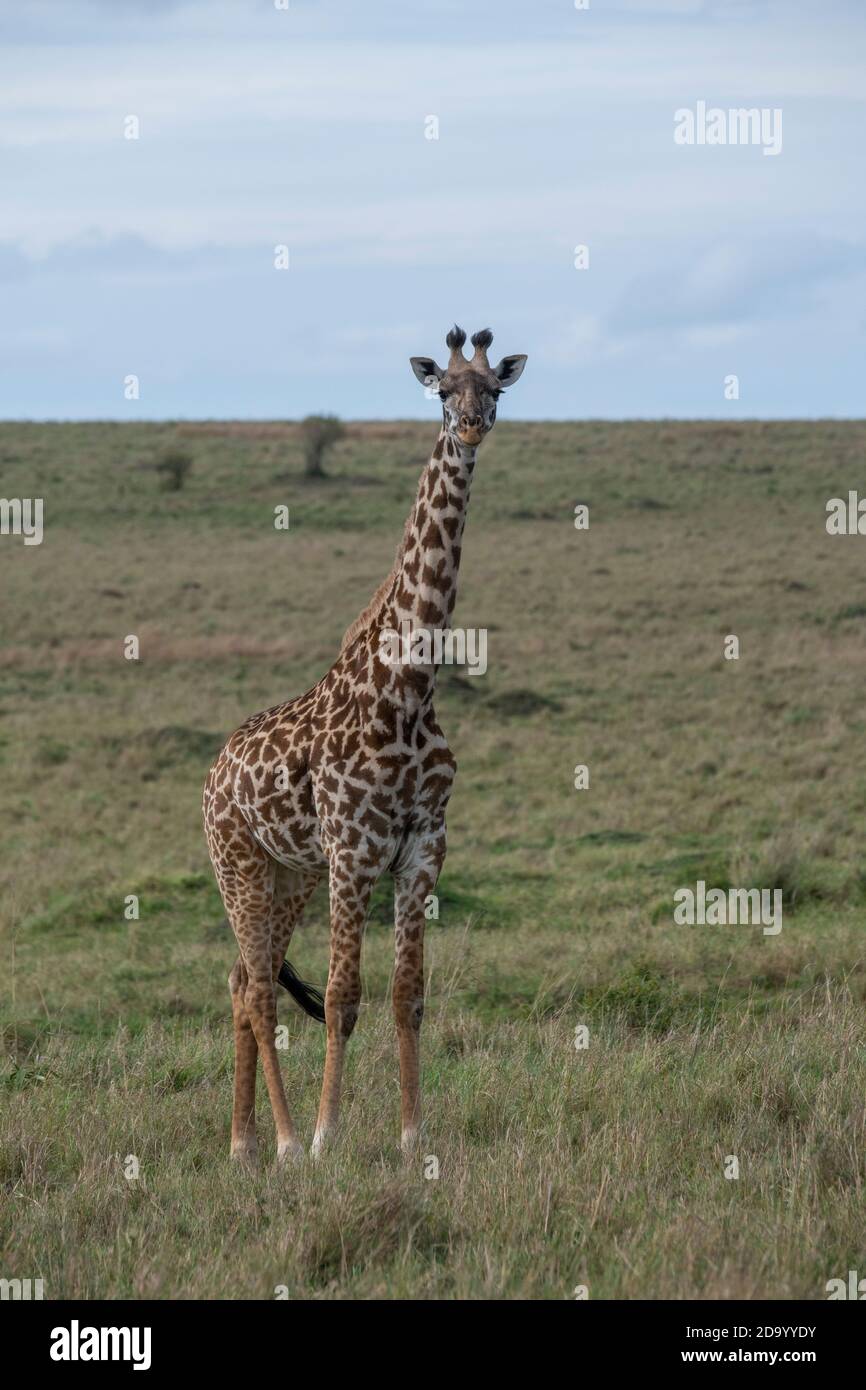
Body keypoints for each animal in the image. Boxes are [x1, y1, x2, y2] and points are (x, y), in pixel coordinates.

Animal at [203, 325, 527, 1163]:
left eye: (495, 389)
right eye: (442, 389)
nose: (471, 427)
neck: (408, 687)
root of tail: (214, 773)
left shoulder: (423, 847)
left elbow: (407, 993)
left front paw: (415, 1135)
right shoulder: (353, 850)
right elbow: (344, 995)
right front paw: (327, 1137)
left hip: (289, 876)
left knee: (240, 981)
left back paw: (243, 1143)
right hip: (239, 867)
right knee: (259, 989)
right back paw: (281, 1143)